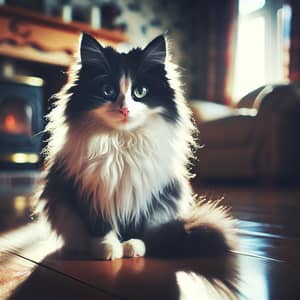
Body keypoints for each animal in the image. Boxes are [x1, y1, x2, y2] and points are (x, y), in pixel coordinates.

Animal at [37, 32, 238, 258]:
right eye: (108, 91)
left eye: (140, 92)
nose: (124, 109)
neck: (122, 143)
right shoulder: (92, 191)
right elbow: (100, 226)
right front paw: (107, 248)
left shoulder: (144, 194)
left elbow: (136, 226)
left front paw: (133, 246)